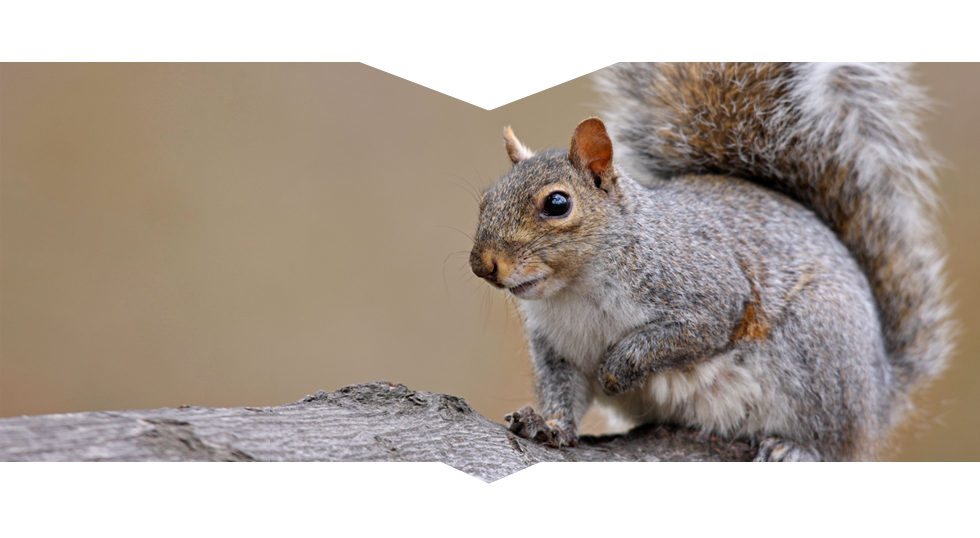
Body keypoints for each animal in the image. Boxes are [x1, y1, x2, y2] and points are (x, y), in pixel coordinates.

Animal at [469, 63, 953, 462]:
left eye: (557, 203)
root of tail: (881, 391)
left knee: (836, 441)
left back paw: (799, 449)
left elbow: (689, 332)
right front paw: (548, 426)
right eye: (486, 200)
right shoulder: (558, 349)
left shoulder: (705, 288)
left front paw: (620, 367)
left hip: (819, 348)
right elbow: (563, 392)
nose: (482, 265)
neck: (576, 289)